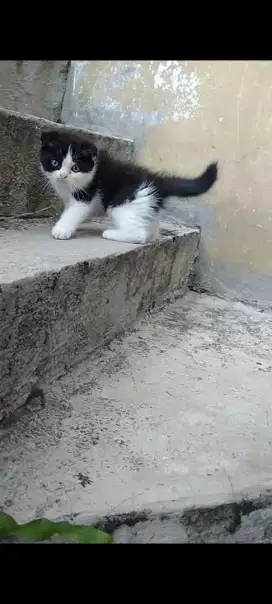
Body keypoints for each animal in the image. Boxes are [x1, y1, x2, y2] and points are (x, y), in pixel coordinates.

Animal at [40, 131, 218, 244]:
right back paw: (151, 234)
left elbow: (74, 212)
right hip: (146, 203)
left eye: (75, 168)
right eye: (55, 163)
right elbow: (68, 209)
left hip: (124, 203)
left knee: (138, 234)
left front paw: (62, 230)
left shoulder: (86, 194)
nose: (63, 175)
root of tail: (157, 180)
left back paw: (112, 233)